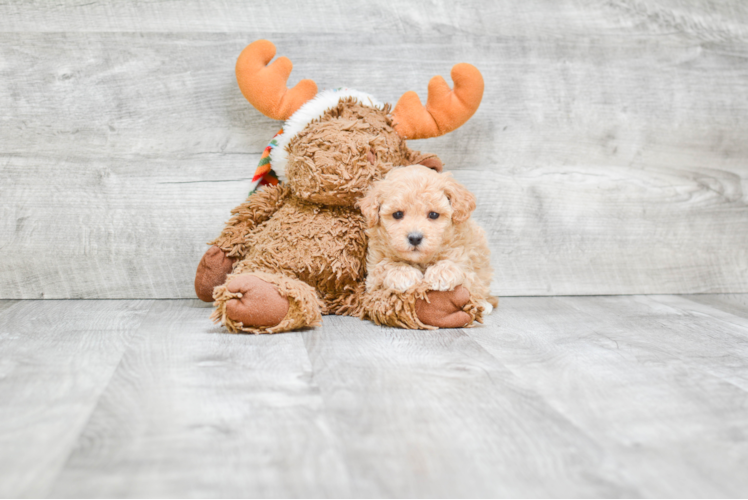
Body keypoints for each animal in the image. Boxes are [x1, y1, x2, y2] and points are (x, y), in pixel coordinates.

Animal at [356, 164, 496, 312]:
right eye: (397, 214)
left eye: (433, 214)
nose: (415, 238)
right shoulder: (372, 279)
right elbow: (384, 266)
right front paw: (403, 273)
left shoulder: (466, 258)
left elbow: (461, 268)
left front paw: (442, 272)